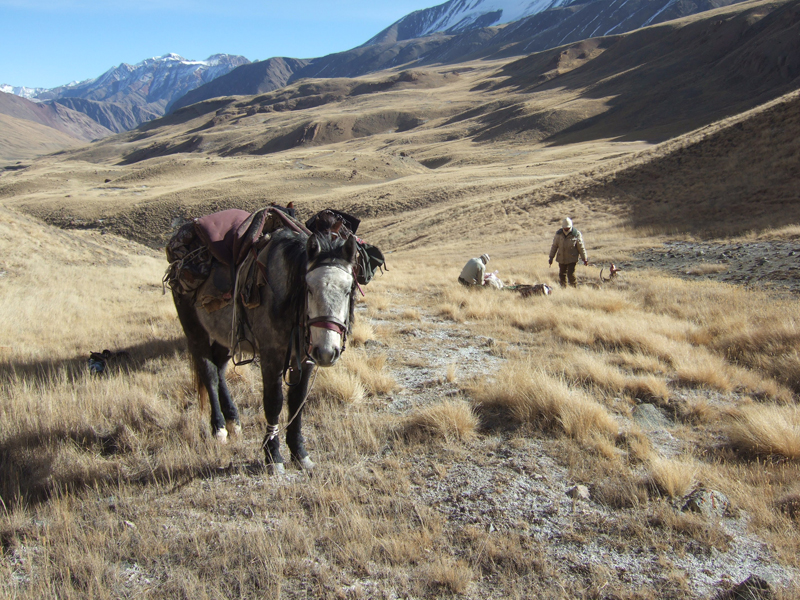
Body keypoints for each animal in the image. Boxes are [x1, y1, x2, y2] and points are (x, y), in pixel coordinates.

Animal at [173, 227, 358, 472]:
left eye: (348, 290)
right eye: (308, 288)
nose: (327, 352)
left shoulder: (305, 359)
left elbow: (297, 400)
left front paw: (299, 453)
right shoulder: (271, 357)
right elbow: (274, 402)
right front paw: (273, 456)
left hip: (227, 337)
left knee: (219, 370)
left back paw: (233, 421)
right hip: (195, 330)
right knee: (209, 373)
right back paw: (219, 427)